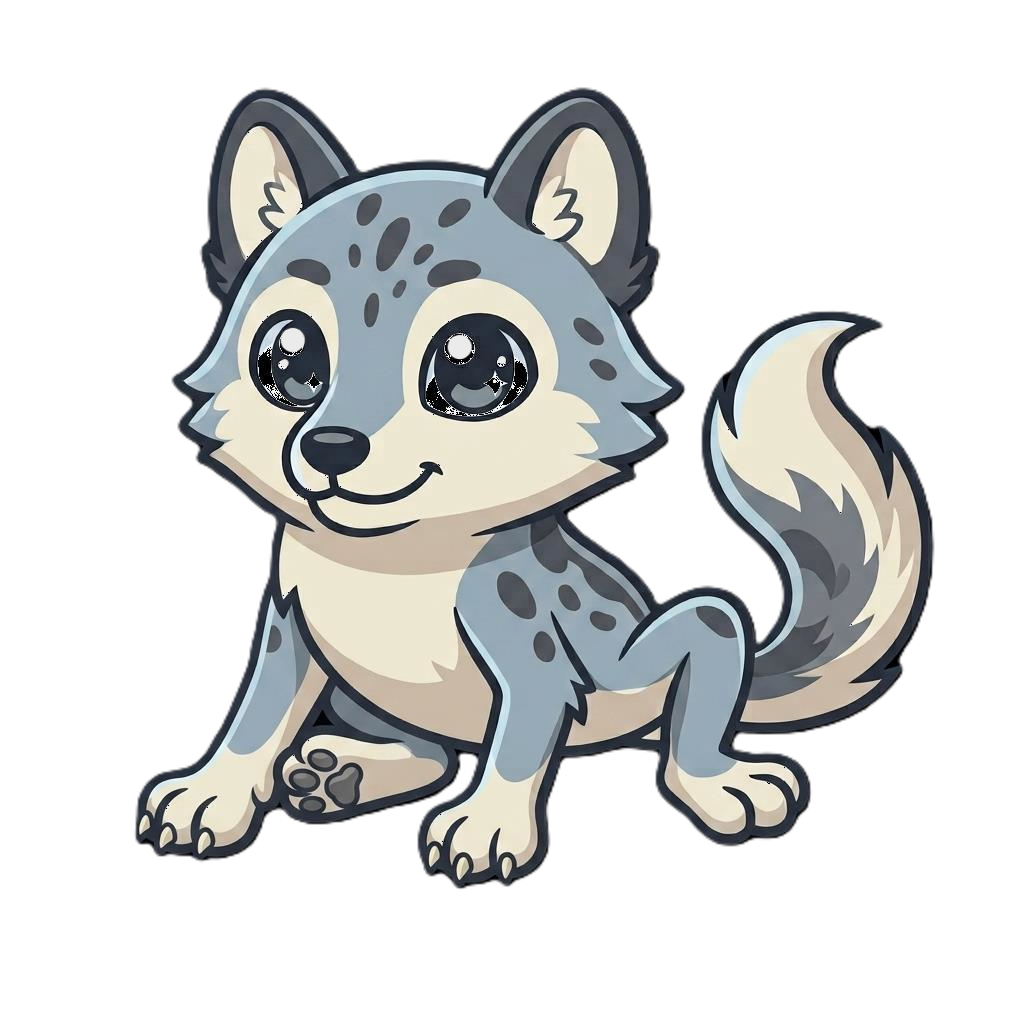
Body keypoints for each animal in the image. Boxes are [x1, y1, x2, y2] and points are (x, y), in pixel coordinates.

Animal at [136, 89, 929, 884]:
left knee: (690, 698)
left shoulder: (533, 653)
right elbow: (256, 716)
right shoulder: (288, 625)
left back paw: (715, 782)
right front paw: (211, 792)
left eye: (473, 364)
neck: (392, 566)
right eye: (288, 356)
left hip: (668, 653)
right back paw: (344, 774)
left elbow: (519, 738)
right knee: (428, 752)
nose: (330, 447)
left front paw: (487, 824)